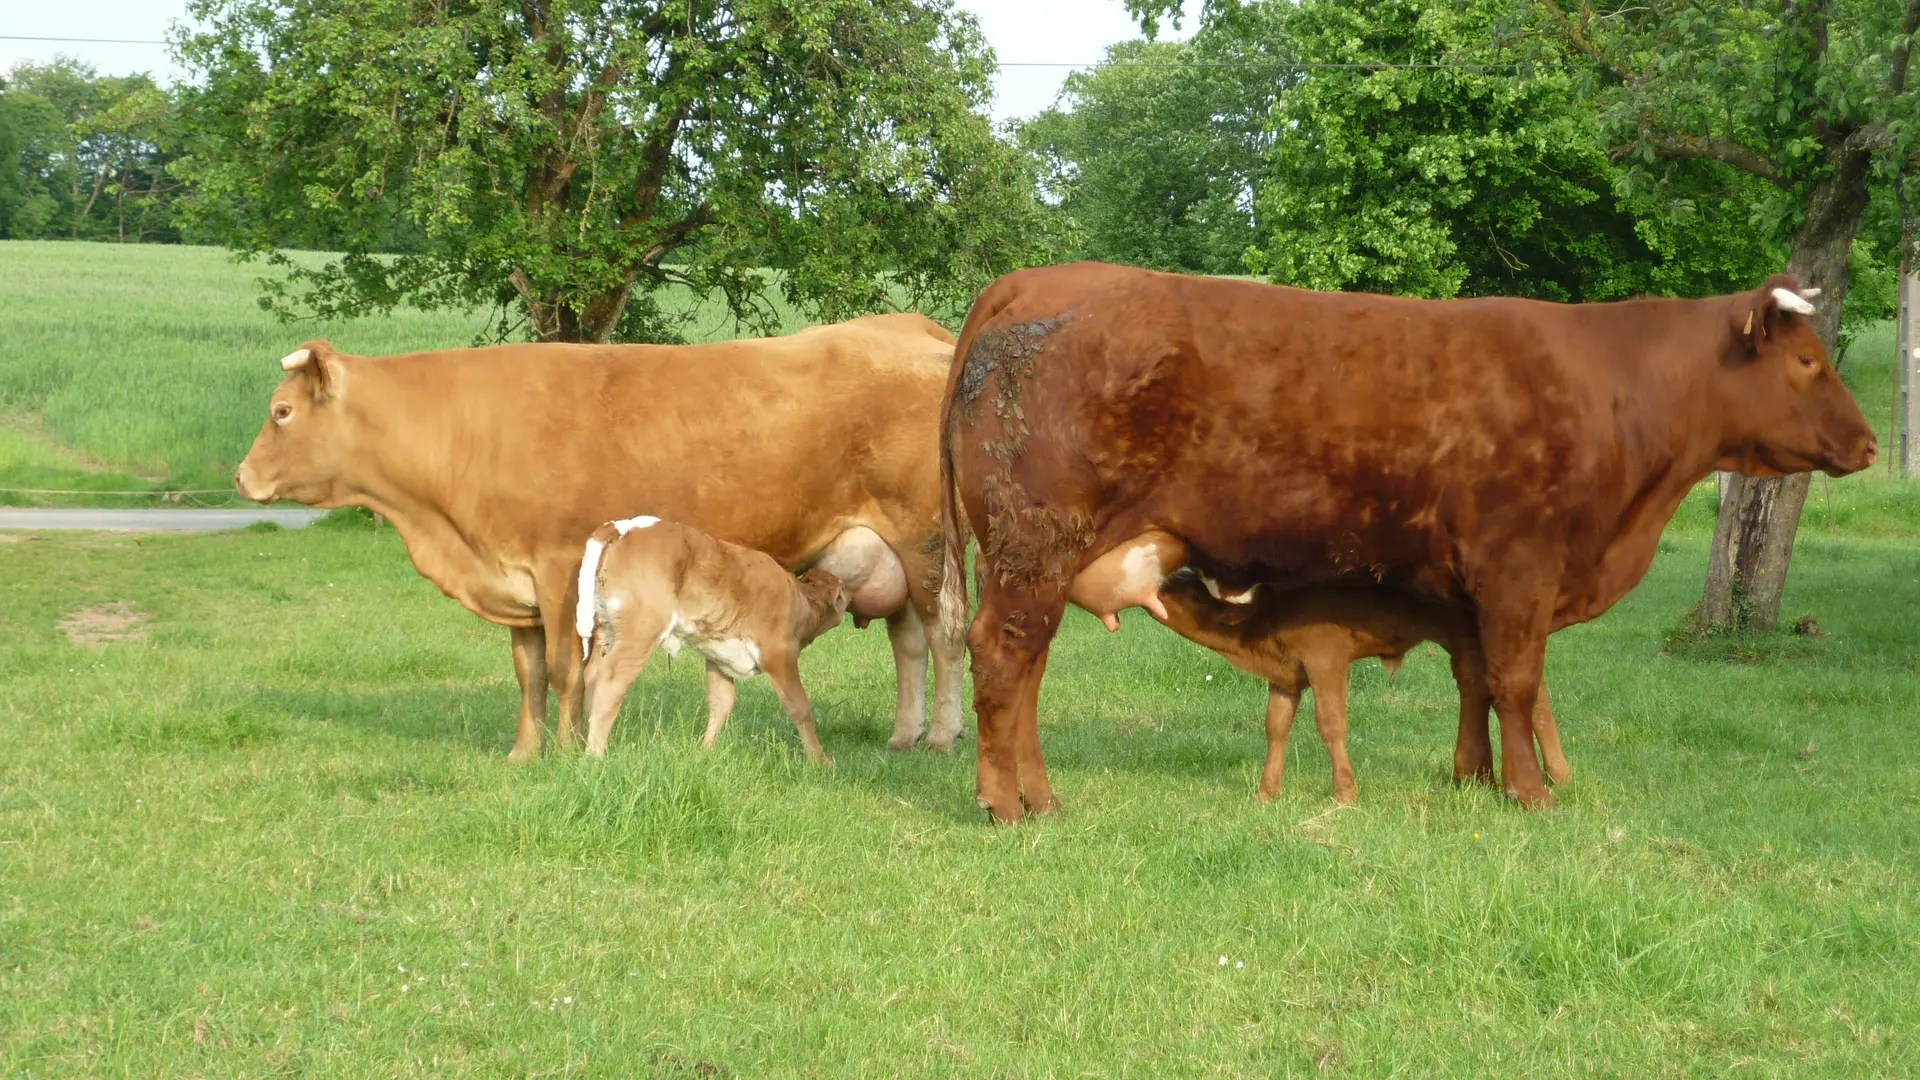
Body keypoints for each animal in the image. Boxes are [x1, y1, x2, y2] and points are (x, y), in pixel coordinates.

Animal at [568, 518, 864, 760]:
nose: (852, 593)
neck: (801, 602)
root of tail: (622, 526)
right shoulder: (779, 654)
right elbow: (799, 706)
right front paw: (820, 760)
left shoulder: (719, 659)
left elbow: (721, 704)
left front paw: (705, 752)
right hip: (641, 630)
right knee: (610, 681)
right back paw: (595, 755)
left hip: (606, 629)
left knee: (592, 676)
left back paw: (584, 744)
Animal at [940, 261, 1873, 814]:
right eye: (1806, 363)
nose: (1867, 444)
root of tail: (1036, 280)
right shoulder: (1518, 569)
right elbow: (1517, 681)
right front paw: (1529, 795)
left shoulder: (1476, 587)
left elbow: (1480, 681)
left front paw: (1474, 778)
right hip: (1034, 546)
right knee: (1002, 656)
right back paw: (1002, 803)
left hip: (1041, 559)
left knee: (1028, 667)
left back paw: (1041, 798)